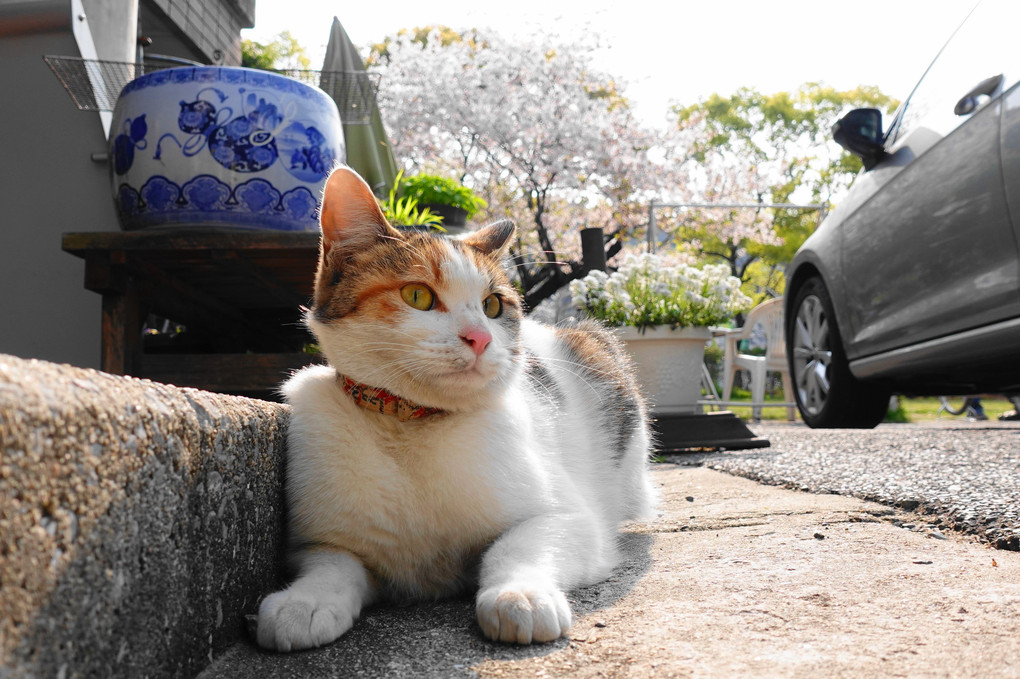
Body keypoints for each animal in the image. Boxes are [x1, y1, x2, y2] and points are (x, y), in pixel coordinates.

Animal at [255, 166, 652, 648]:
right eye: (418, 296)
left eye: (493, 305)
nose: (479, 338)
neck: (409, 424)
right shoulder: (315, 543)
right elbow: (331, 564)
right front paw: (304, 602)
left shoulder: (571, 517)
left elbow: (515, 545)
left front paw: (520, 594)